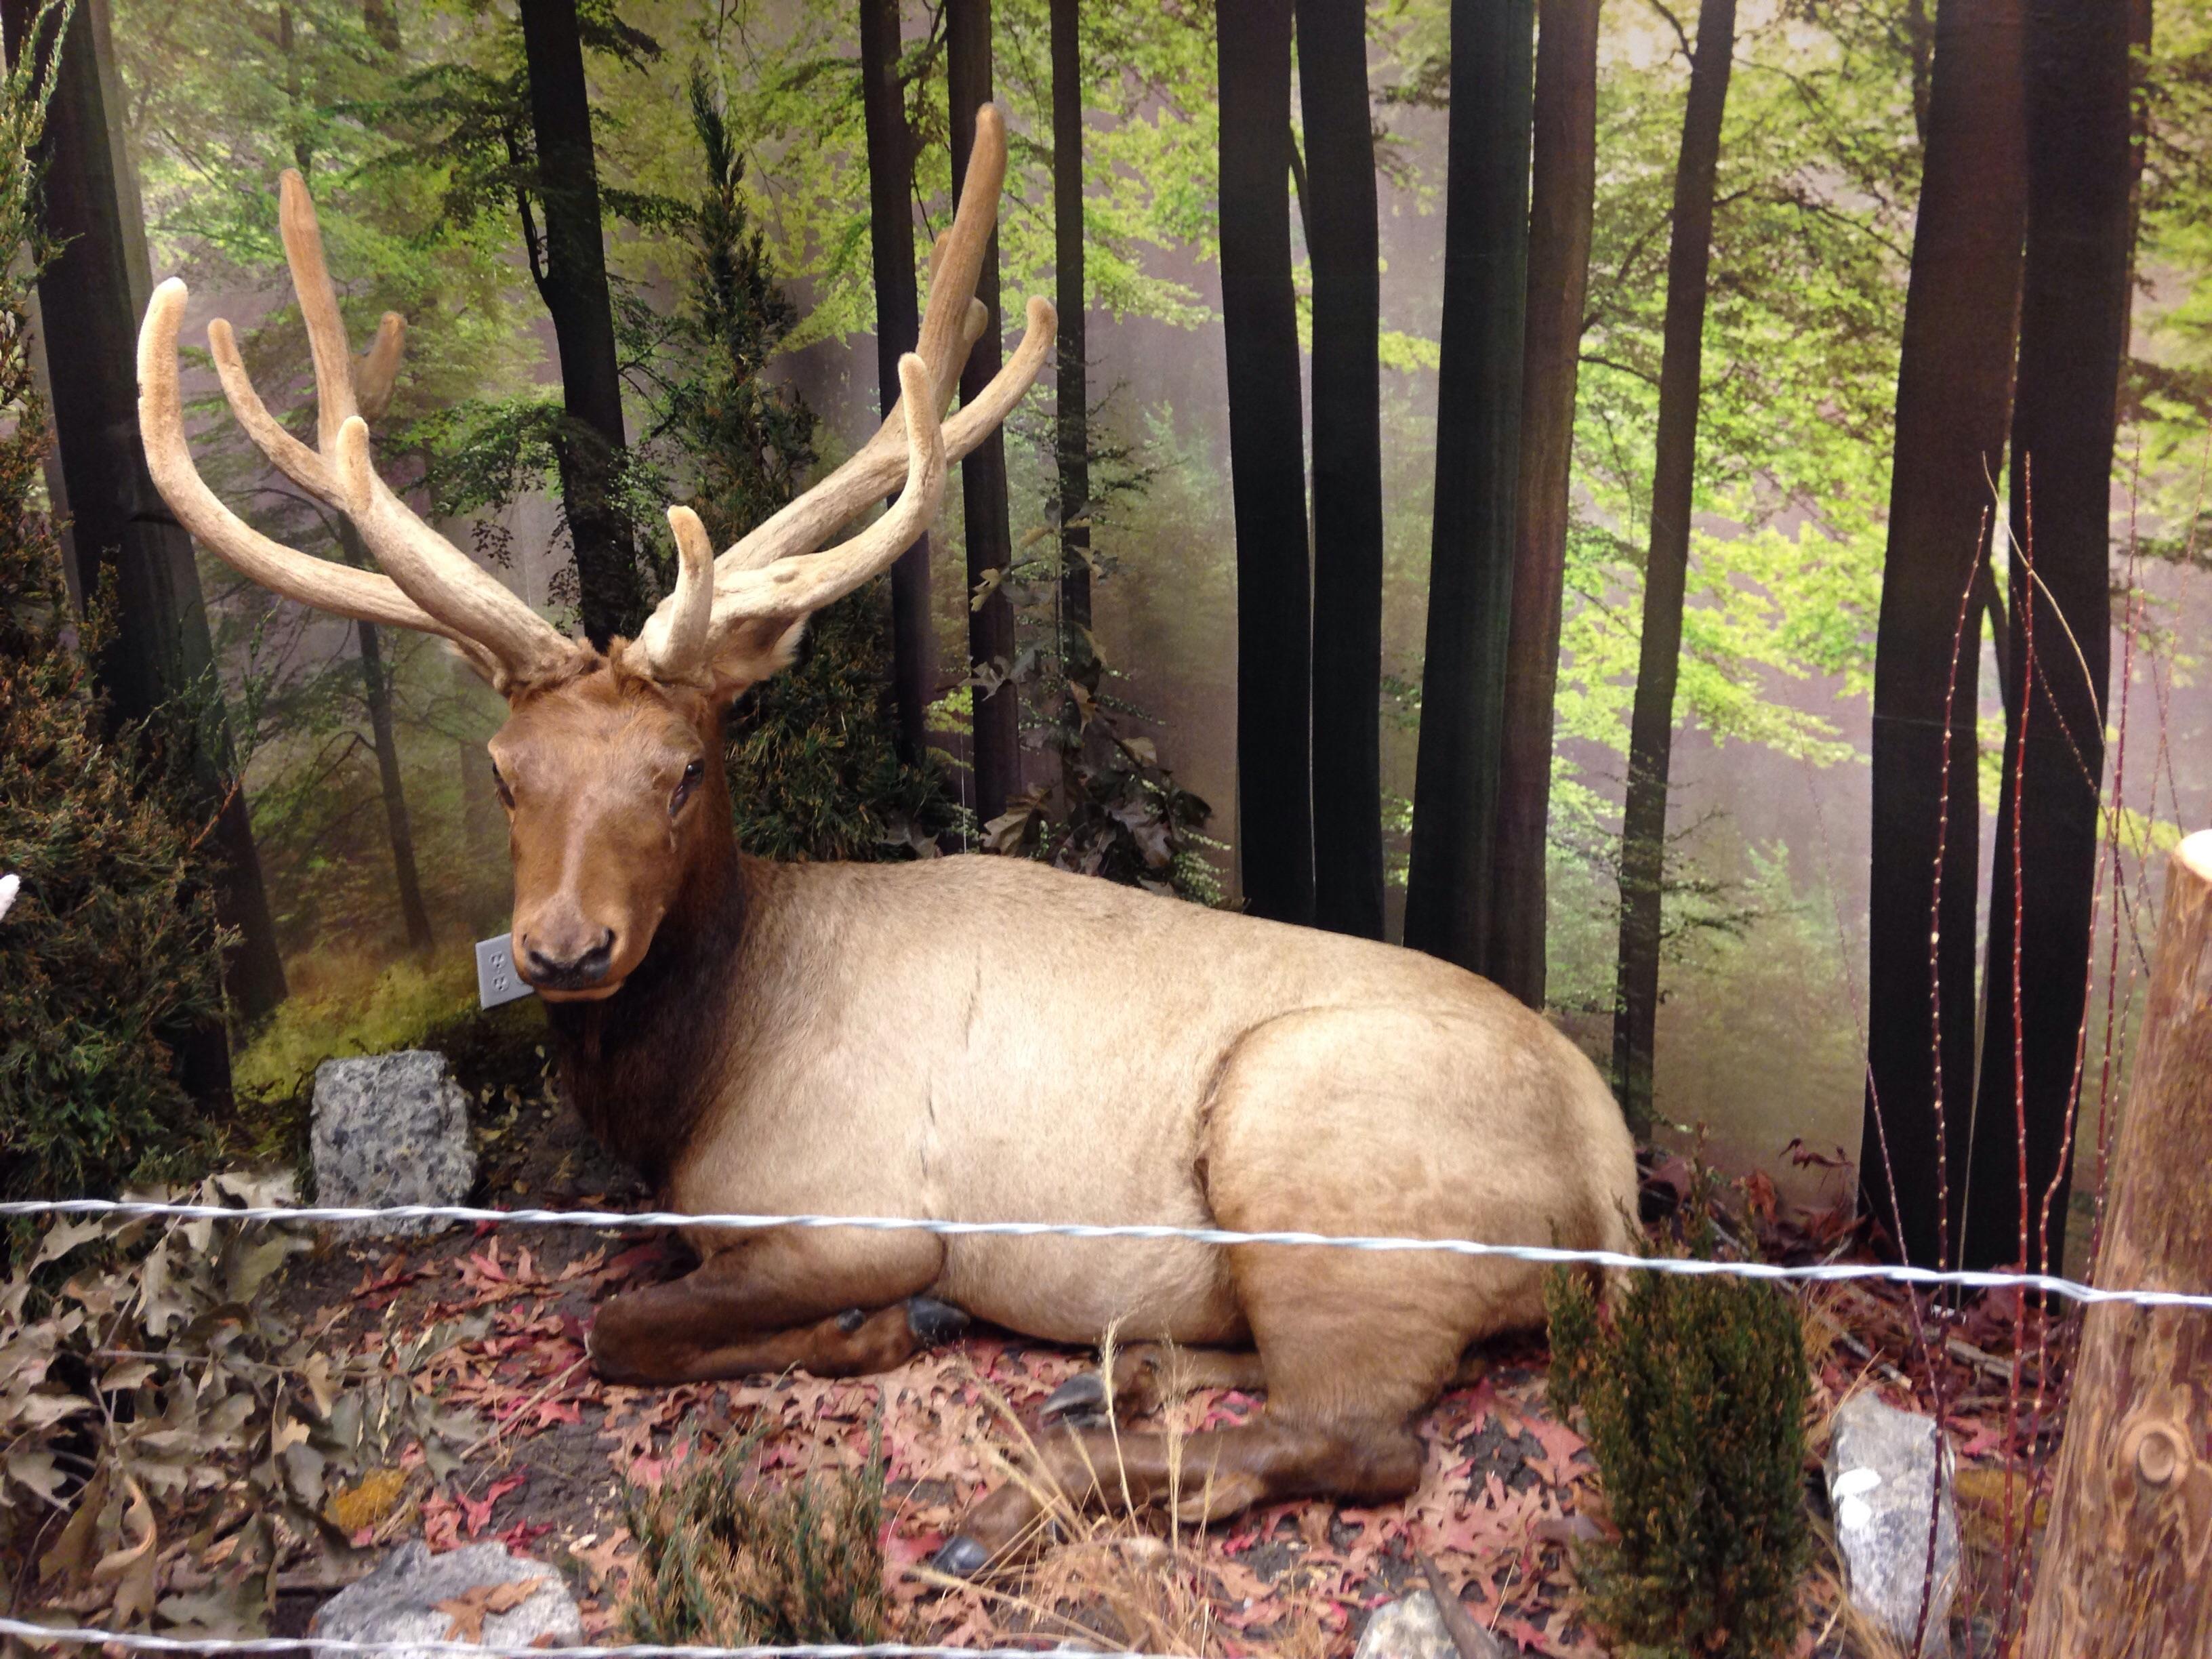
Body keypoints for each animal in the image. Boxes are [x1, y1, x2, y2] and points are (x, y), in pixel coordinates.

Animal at [139, 108, 1638, 1574]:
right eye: (509, 773)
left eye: (682, 769)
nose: (563, 947)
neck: (691, 1087)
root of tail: (1612, 1184)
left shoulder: (855, 1212)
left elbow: (623, 1327)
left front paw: (883, 1329)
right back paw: (1114, 1377)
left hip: (1310, 1155)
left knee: (1353, 1438)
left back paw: (1010, 1497)